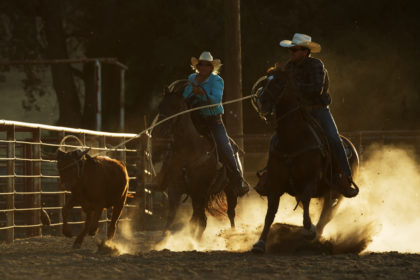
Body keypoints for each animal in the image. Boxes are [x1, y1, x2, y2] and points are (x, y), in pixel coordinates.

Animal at [251, 70, 360, 254]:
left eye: (279, 83)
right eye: (264, 82)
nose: (261, 101)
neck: (293, 138)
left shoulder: (310, 180)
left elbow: (307, 198)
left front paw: (309, 229)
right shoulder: (275, 184)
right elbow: (270, 214)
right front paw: (260, 243)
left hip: (338, 192)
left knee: (326, 215)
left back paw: (316, 237)